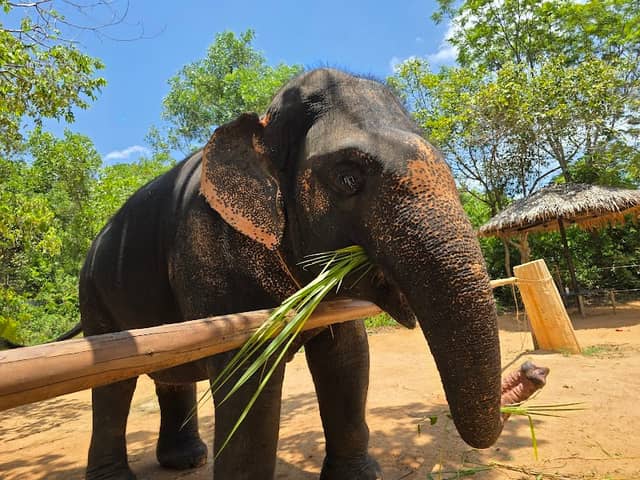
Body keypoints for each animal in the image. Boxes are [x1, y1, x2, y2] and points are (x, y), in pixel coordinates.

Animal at [79, 68, 509, 480]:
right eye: (348, 177)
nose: (522, 382)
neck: (263, 126)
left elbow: (349, 356)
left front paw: (358, 476)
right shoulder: (209, 254)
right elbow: (247, 383)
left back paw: (186, 460)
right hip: (94, 299)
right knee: (112, 383)